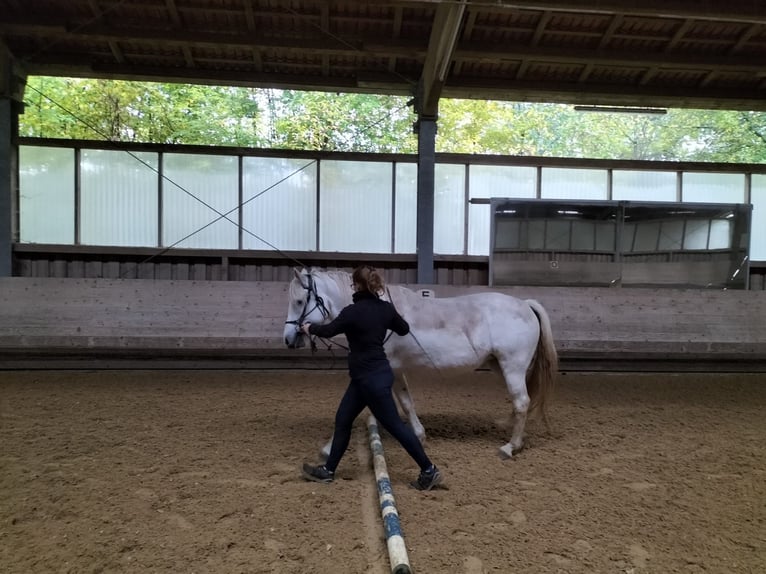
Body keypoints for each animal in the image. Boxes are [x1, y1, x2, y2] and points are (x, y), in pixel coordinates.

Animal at [282, 266, 560, 460]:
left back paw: (510, 447)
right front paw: (419, 435)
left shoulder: (382, 372)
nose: (288, 338)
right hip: (499, 366)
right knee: (520, 400)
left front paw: (328, 449)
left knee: (522, 401)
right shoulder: (395, 372)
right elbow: (406, 403)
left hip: (512, 367)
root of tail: (525, 304)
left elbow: (359, 409)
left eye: (299, 301)